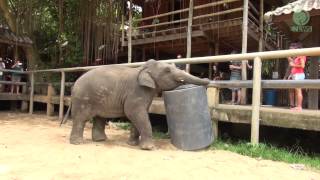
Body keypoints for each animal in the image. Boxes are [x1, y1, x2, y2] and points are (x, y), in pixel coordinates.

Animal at [69, 59, 210, 150]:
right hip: (83, 98)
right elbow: (135, 113)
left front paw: (132, 144)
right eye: (168, 70)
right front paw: (149, 148)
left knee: (99, 118)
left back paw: (100, 140)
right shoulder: (137, 91)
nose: (207, 79)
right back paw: (77, 143)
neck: (143, 68)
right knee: (81, 118)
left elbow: (137, 116)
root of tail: (74, 84)